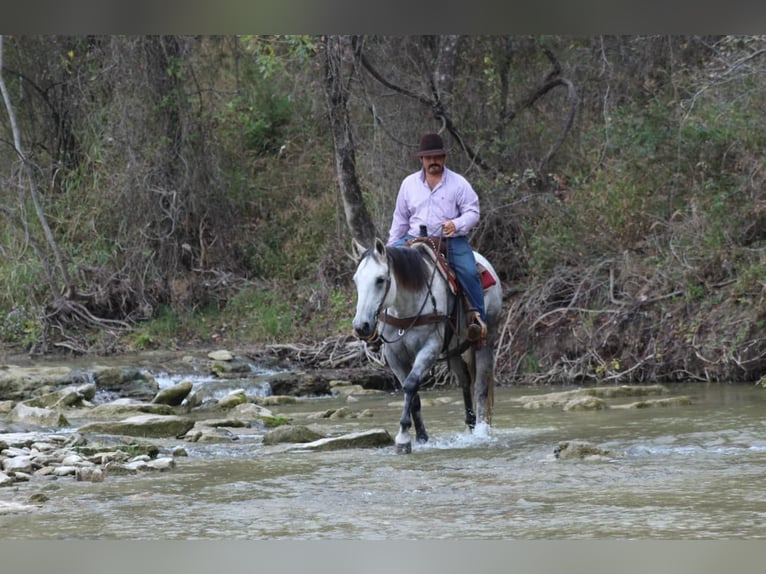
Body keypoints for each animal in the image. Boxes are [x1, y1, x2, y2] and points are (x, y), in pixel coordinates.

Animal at [352, 237, 503, 454]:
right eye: (356, 280)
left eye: (380, 279)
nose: (361, 326)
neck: (405, 309)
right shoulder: (395, 357)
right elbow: (413, 395)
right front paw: (421, 437)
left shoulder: (429, 349)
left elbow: (410, 385)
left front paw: (403, 438)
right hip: (453, 350)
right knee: (464, 380)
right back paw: (471, 424)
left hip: (486, 340)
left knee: (480, 386)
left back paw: (481, 432)